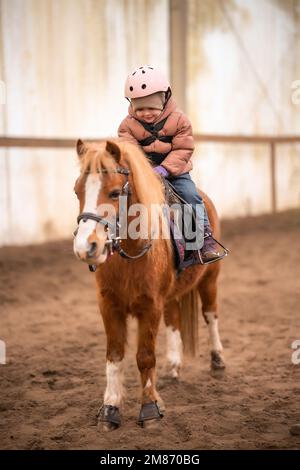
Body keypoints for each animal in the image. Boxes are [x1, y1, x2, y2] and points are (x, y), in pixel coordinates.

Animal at [72, 139, 225, 430]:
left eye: (114, 192)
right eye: (77, 192)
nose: (86, 247)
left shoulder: (150, 305)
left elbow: (144, 357)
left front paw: (151, 409)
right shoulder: (108, 305)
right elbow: (114, 356)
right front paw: (110, 409)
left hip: (210, 279)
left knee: (211, 315)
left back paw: (218, 360)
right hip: (172, 294)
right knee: (174, 319)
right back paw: (174, 365)